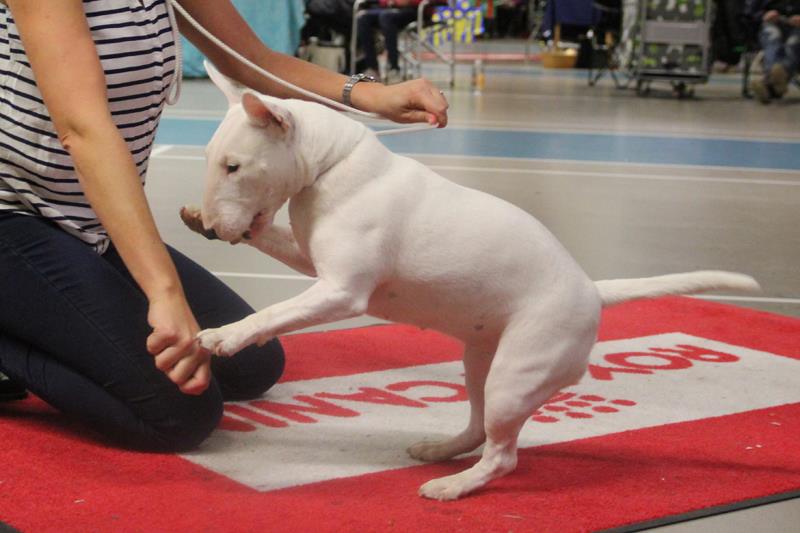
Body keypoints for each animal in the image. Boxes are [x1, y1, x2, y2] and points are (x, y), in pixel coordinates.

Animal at [180, 63, 760, 501]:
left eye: (234, 167)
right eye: (210, 160)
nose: (210, 229)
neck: (330, 165)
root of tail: (592, 291)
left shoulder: (342, 291)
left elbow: (271, 314)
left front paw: (224, 336)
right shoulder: (308, 262)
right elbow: (275, 243)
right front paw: (200, 219)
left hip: (516, 375)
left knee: (503, 455)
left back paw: (453, 486)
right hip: (480, 362)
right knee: (480, 427)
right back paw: (439, 453)